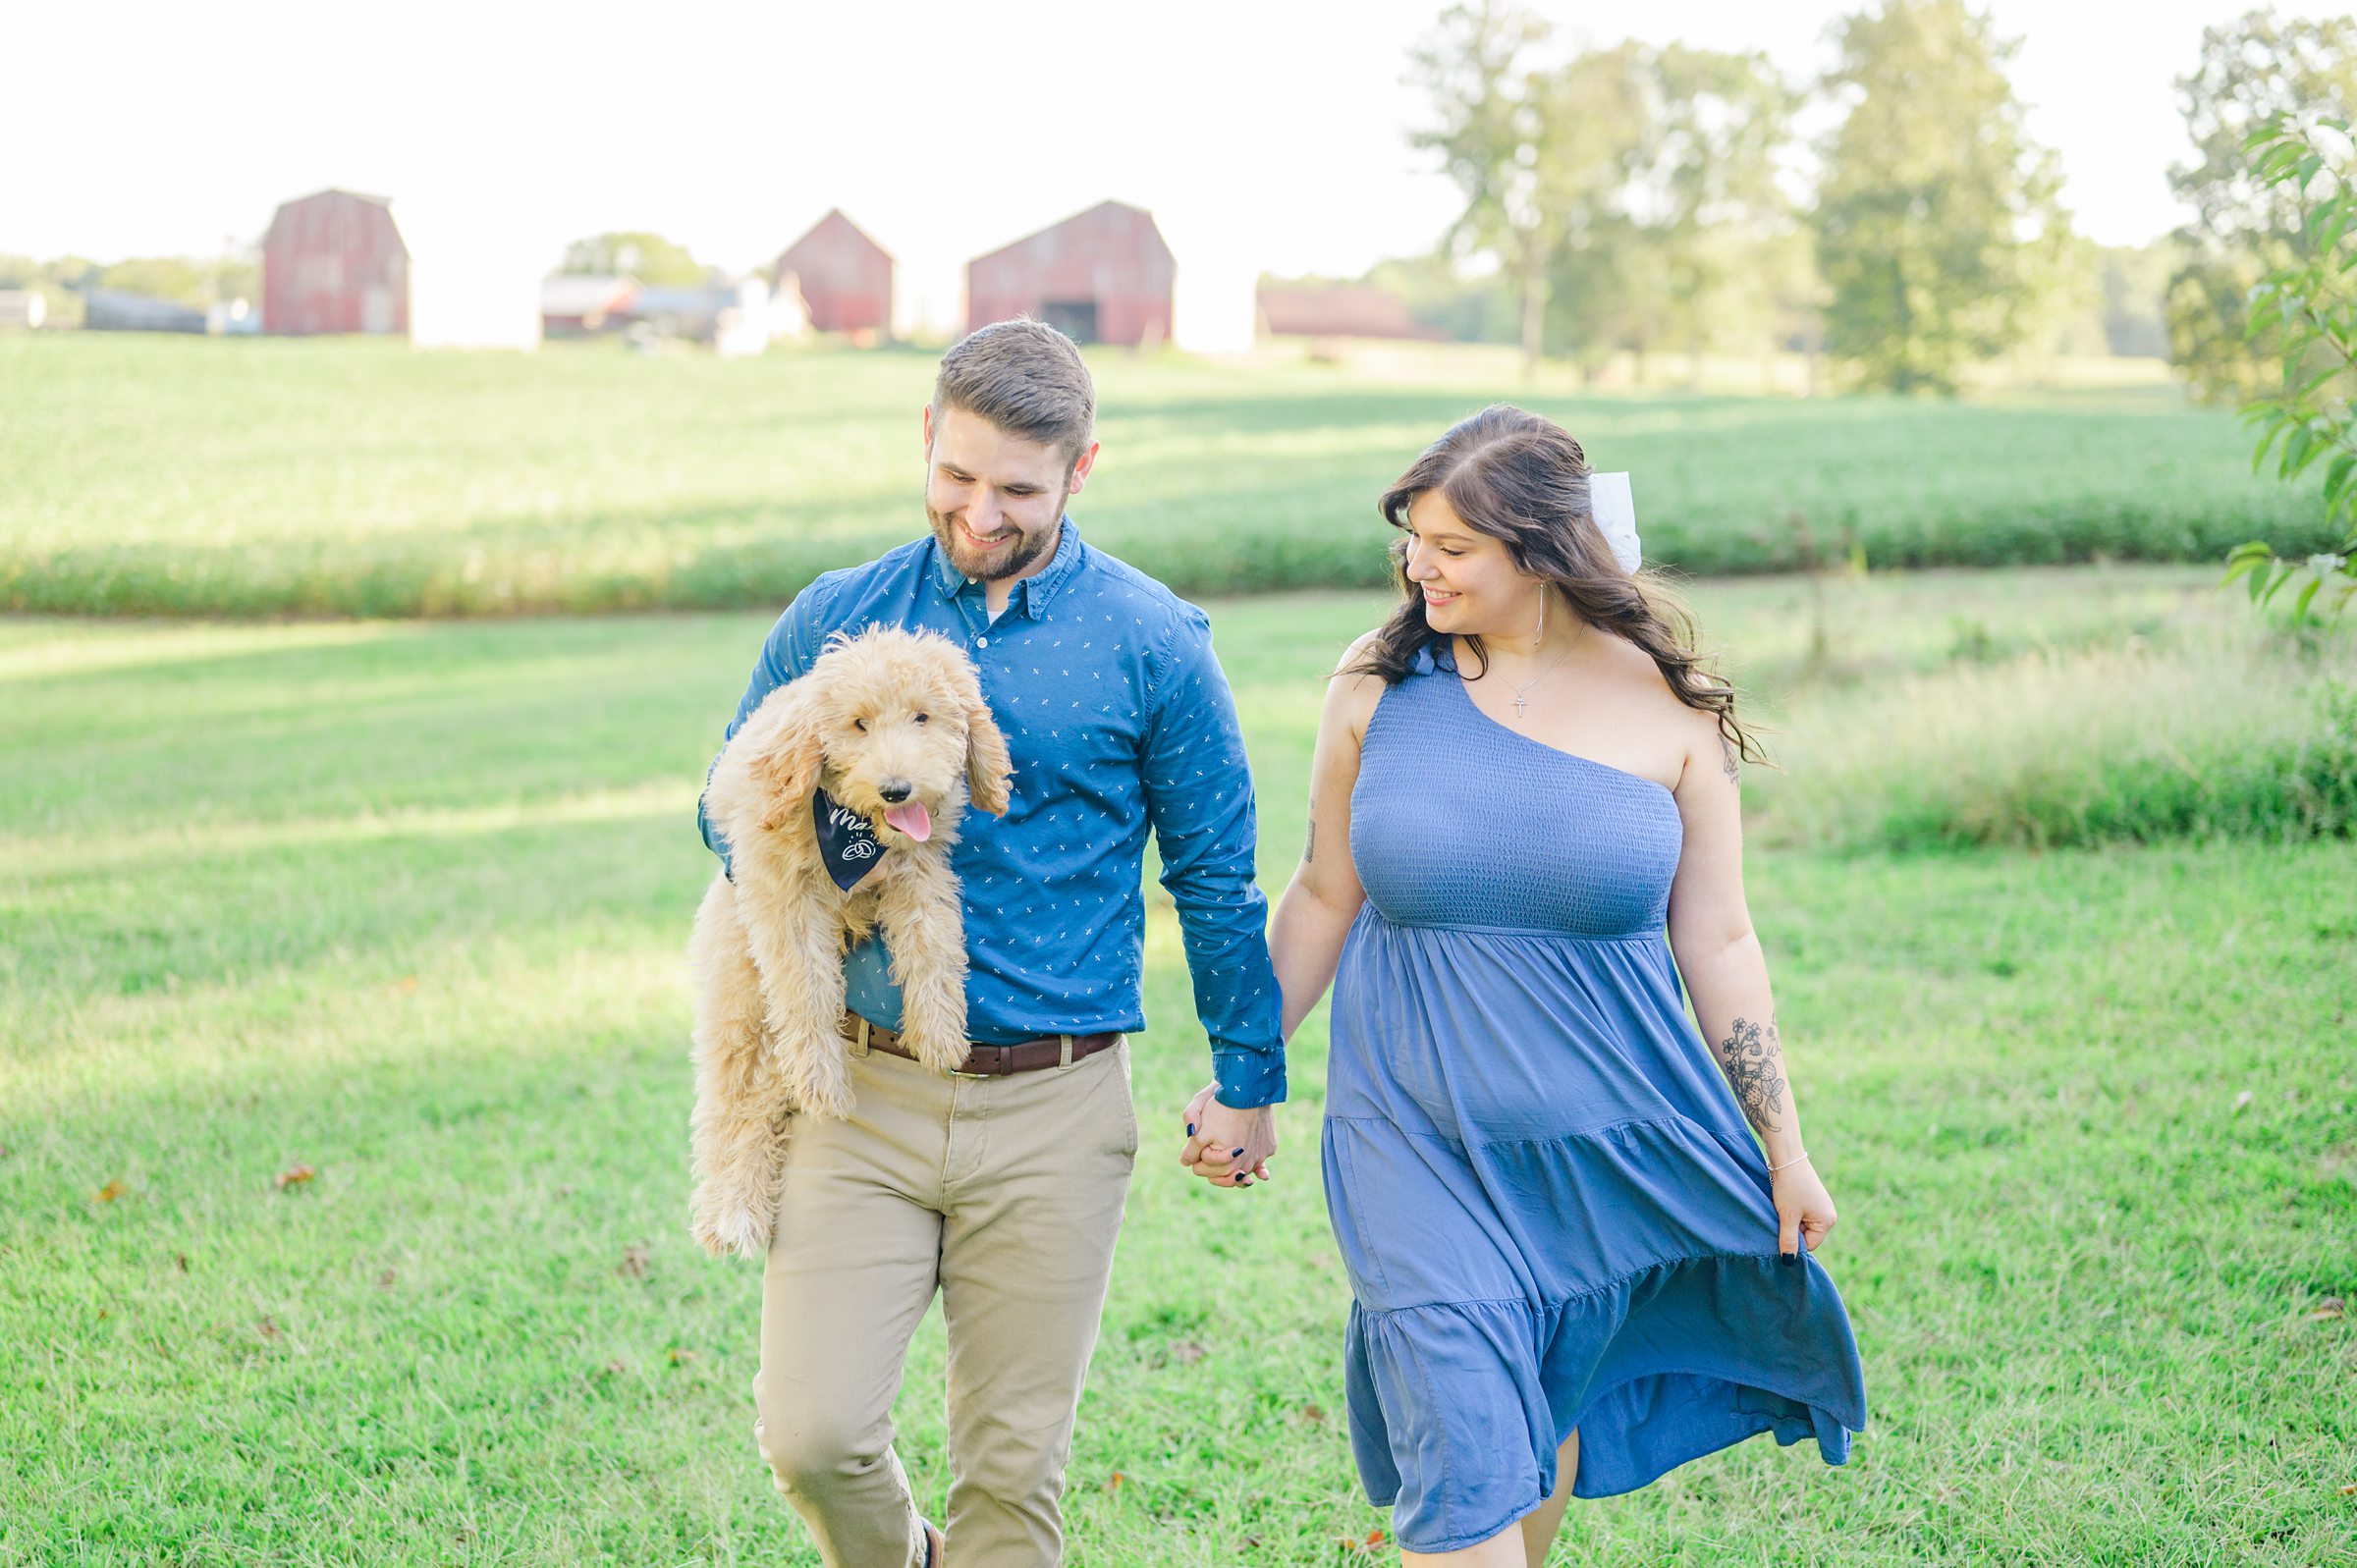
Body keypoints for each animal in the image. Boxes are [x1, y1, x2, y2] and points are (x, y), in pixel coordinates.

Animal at [687, 626, 1009, 1264]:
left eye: (922, 717)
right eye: (859, 724)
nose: (896, 789)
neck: (853, 828)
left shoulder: (920, 870)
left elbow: (932, 943)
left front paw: (939, 1032)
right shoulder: (780, 895)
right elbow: (806, 988)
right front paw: (823, 1082)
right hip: (739, 995)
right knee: (729, 1100)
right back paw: (730, 1212)